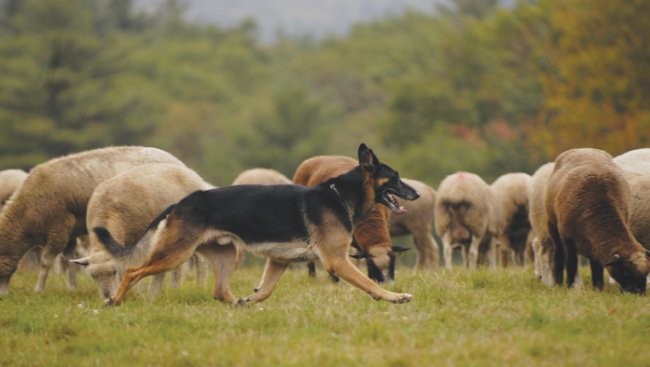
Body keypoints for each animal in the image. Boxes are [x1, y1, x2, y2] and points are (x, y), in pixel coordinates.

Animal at [0, 147, 184, 296]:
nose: (3, 297)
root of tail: (178, 162)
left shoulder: (59, 229)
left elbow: (45, 263)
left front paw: (39, 290)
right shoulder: (69, 233)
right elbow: (69, 260)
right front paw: (72, 288)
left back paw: (174, 286)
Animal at [70, 164, 215, 302]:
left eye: (114, 272)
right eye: (92, 276)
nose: (107, 296)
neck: (107, 213)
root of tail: (188, 171)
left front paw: (134, 293)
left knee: (199, 261)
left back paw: (195, 287)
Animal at [98, 145, 418, 306]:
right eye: (395, 176)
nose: (416, 193)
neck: (340, 195)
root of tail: (181, 202)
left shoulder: (279, 260)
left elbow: (265, 290)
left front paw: (251, 299)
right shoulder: (337, 261)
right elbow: (369, 283)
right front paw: (395, 297)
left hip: (224, 255)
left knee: (220, 291)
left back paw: (237, 303)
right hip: (175, 254)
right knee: (133, 271)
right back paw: (115, 301)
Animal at [540, 148, 648, 294]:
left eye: (646, 273)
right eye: (626, 272)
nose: (638, 294)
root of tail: (583, 149)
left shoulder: (595, 241)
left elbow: (597, 266)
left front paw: (598, 288)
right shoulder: (568, 239)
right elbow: (571, 264)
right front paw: (570, 288)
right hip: (552, 224)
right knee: (559, 254)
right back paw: (557, 283)